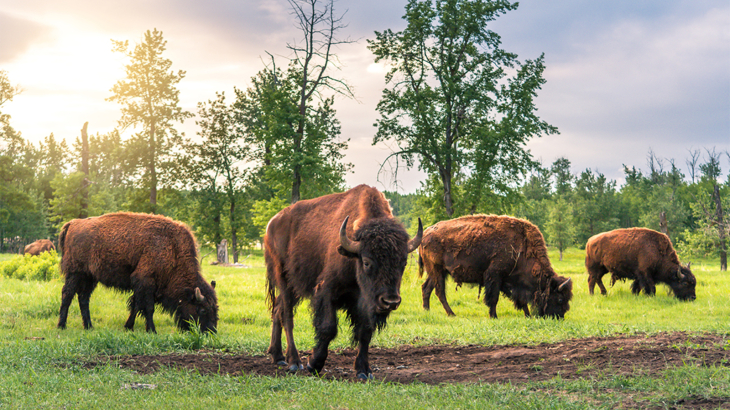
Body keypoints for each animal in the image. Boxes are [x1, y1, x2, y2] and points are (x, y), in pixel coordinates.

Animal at [57, 212, 219, 333]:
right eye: (202, 310)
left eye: (215, 309)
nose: (211, 331)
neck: (173, 248)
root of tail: (72, 223)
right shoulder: (145, 280)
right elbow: (148, 307)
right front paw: (152, 330)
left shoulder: (143, 286)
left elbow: (136, 306)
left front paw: (128, 326)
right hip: (75, 273)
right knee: (67, 294)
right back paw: (62, 326)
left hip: (90, 277)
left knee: (83, 298)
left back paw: (89, 326)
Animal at [264, 185, 422, 379]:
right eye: (367, 262)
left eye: (403, 263)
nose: (390, 301)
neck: (353, 257)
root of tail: (272, 224)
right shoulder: (326, 291)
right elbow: (328, 328)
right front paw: (313, 364)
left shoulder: (366, 302)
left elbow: (365, 332)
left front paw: (364, 371)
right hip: (284, 279)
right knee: (287, 316)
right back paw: (294, 362)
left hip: (296, 287)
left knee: (277, 310)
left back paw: (278, 357)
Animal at [418, 215, 573, 319]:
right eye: (560, 299)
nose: (559, 317)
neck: (522, 247)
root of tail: (425, 234)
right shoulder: (494, 275)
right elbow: (493, 298)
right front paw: (494, 316)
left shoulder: (510, 281)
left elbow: (521, 300)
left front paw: (527, 315)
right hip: (437, 270)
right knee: (440, 291)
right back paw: (451, 313)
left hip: (437, 272)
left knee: (426, 288)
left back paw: (427, 311)